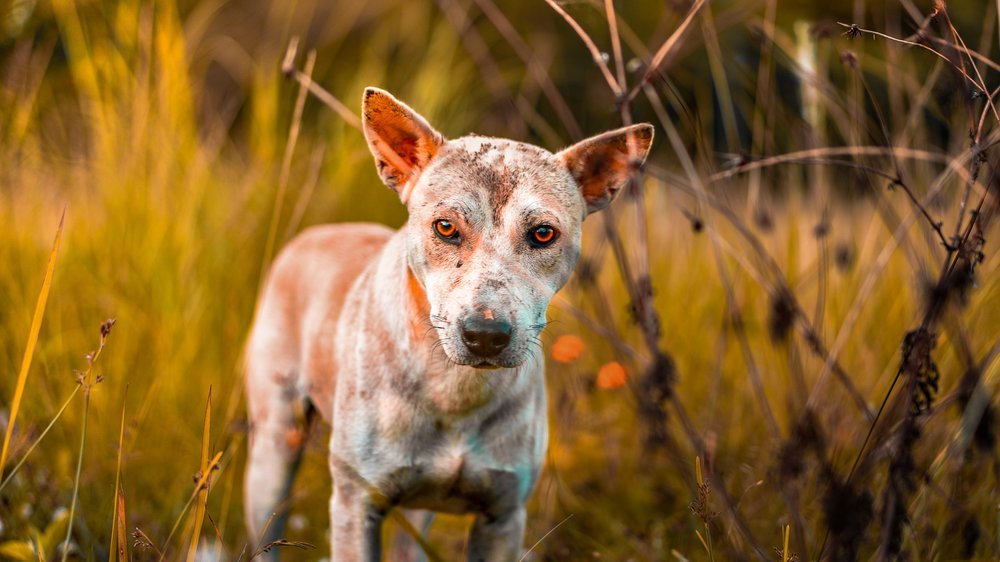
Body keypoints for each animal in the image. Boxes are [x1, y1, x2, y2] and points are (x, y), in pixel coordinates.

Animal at [244, 86, 656, 556]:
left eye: (543, 234)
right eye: (444, 227)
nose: (485, 335)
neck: (454, 388)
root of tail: (318, 232)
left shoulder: (503, 515)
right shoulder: (355, 505)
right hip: (273, 452)